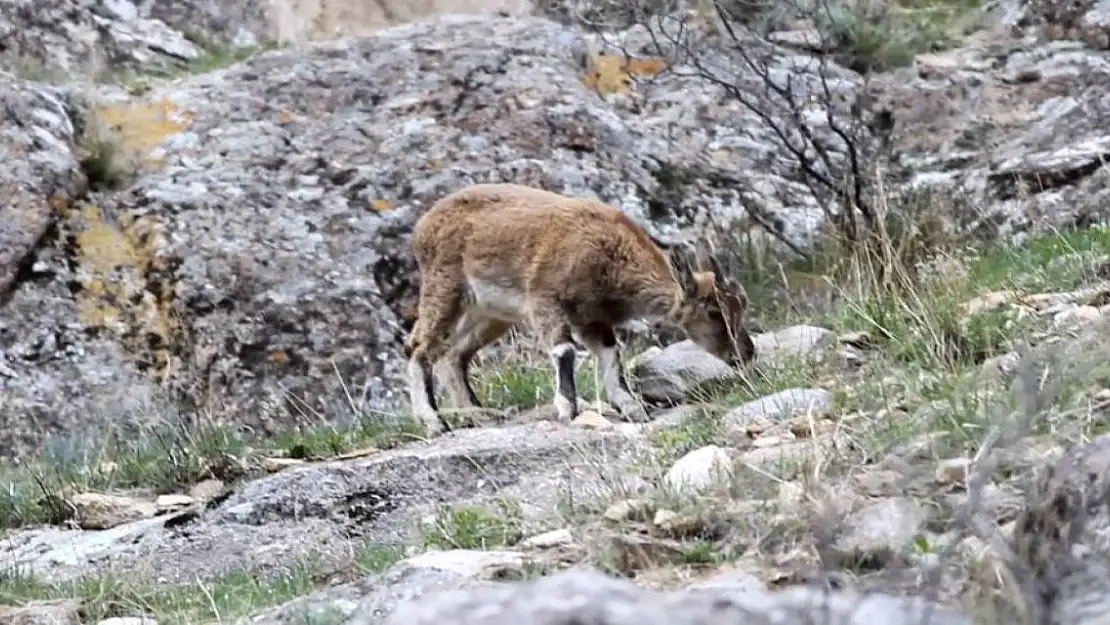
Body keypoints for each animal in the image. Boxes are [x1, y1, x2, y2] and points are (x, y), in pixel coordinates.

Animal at [399, 180, 754, 435]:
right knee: (419, 347)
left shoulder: (591, 319)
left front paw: (631, 407)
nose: (745, 353)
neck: (610, 257)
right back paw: (434, 421)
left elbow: (611, 356)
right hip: (445, 288)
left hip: (489, 314)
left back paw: (477, 413)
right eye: (714, 312)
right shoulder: (545, 300)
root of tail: (422, 226)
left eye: (741, 305)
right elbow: (565, 351)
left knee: (454, 354)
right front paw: (569, 408)